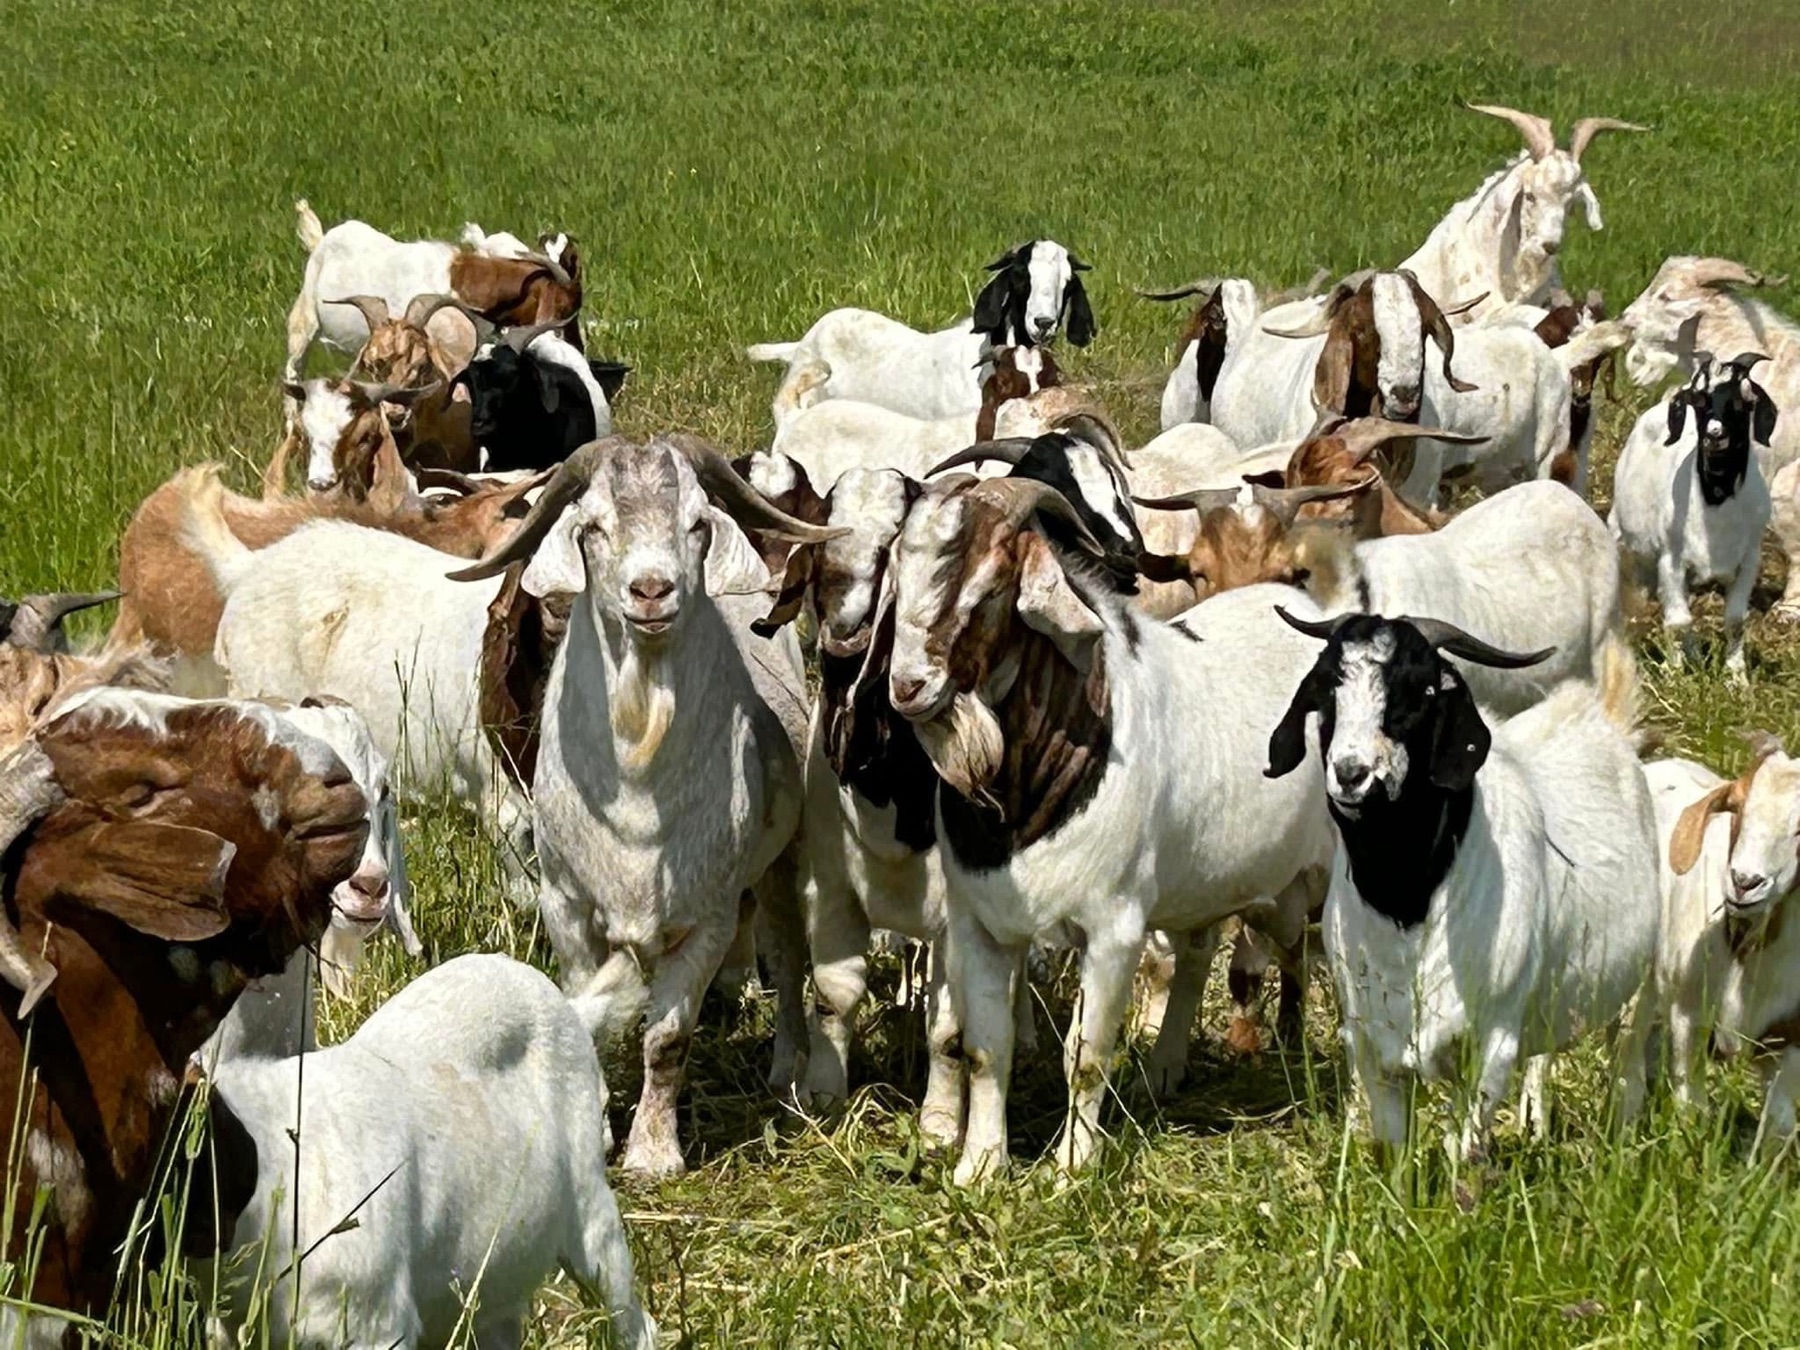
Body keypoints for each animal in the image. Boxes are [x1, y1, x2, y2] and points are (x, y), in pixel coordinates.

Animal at [449, 435, 843, 1177]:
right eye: (593, 526)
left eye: (696, 523)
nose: (652, 590)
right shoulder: (568, 906)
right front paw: (596, 1129)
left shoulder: (706, 915)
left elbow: (667, 1039)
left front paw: (654, 1154)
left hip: (778, 863)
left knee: (785, 952)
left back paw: (786, 1070)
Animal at [884, 476, 1333, 1181]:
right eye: (898, 573)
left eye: (990, 589)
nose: (908, 687)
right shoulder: (978, 923)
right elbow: (986, 1047)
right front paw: (980, 1168)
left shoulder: (1113, 927)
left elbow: (1086, 1055)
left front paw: (1071, 1169)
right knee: (1204, 951)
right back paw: (1169, 1069)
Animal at [1268, 611, 1659, 1157]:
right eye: (1326, 689)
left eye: (1423, 690)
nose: (1350, 773)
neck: (1408, 904)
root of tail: (1595, 718)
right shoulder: (1370, 1043)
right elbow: (1395, 1148)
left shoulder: (1491, 1044)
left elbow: (1464, 1150)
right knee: (1545, 1055)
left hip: (1640, 988)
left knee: (1629, 1064)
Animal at [1610, 354, 1777, 677]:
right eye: (1699, 400)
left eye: (1744, 401)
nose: (1714, 434)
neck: (1715, 504)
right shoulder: (1670, 560)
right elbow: (1678, 621)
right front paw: (1675, 676)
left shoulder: (1749, 562)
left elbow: (1735, 620)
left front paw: (1736, 677)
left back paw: (1695, 657)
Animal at [1624, 738, 1800, 1147]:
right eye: (1737, 807)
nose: (1745, 882)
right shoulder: (1689, 1015)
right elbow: (1693, 1111)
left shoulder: (1790, 1040)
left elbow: (1779, 1127)